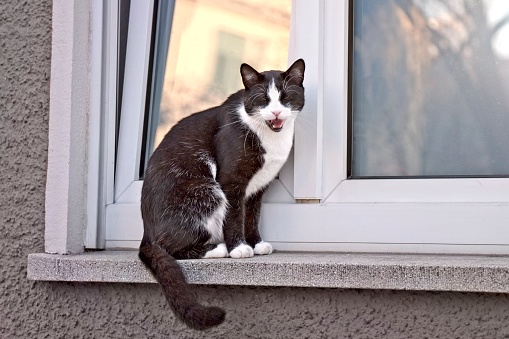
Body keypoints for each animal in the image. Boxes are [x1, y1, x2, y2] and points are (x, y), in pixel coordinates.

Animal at [139, 57, 304, 330]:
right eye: (262, 99)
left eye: (286, 96)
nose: (276, 112)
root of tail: (146, 232)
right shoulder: (230, 181)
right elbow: (235, 215)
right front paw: (239, 248)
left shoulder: (259, 187)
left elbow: (252, 215)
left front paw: (256, 243)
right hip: (205, 190)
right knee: (169, 246)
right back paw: (218, 249)